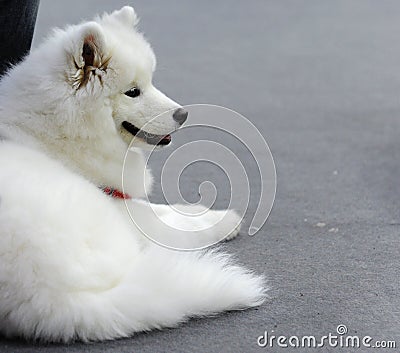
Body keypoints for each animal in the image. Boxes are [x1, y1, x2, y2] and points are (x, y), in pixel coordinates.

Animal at [0, 5, 266, 340]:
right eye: (133, 92)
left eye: (150, 82)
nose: (183, 114)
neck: (54, 138)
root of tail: (57, 298)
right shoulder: (129, 215)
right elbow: (180, 224)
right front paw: (223, 220)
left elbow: (168, 209)